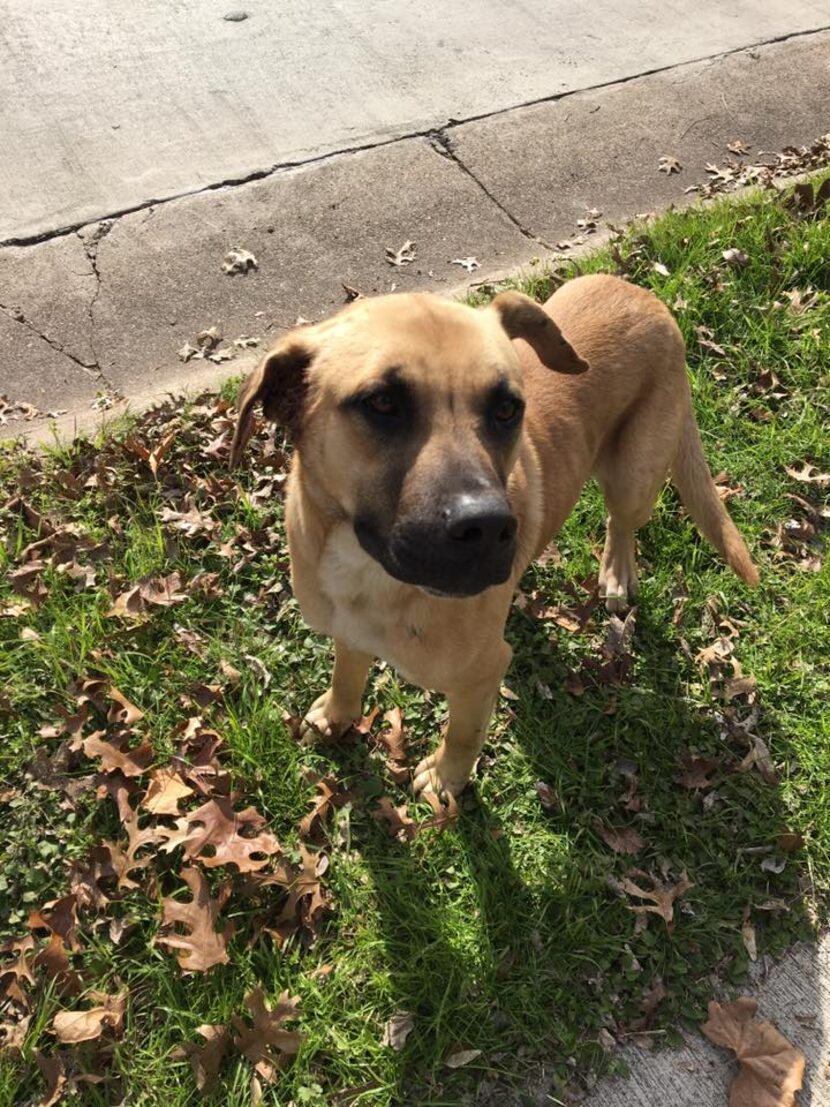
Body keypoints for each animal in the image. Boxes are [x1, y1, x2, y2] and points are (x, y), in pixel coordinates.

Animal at [229, 275, 761, 797]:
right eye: (381, 402)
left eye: (507, 409)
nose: (488, 528)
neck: (366, 573)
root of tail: (646, 297)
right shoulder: (346, 630)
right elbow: (346, 673)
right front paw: (337, 714)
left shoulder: (480, 675)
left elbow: (463, 735)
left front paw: (446, 779)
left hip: (635, 476)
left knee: (622, 521)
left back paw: (616, 570)